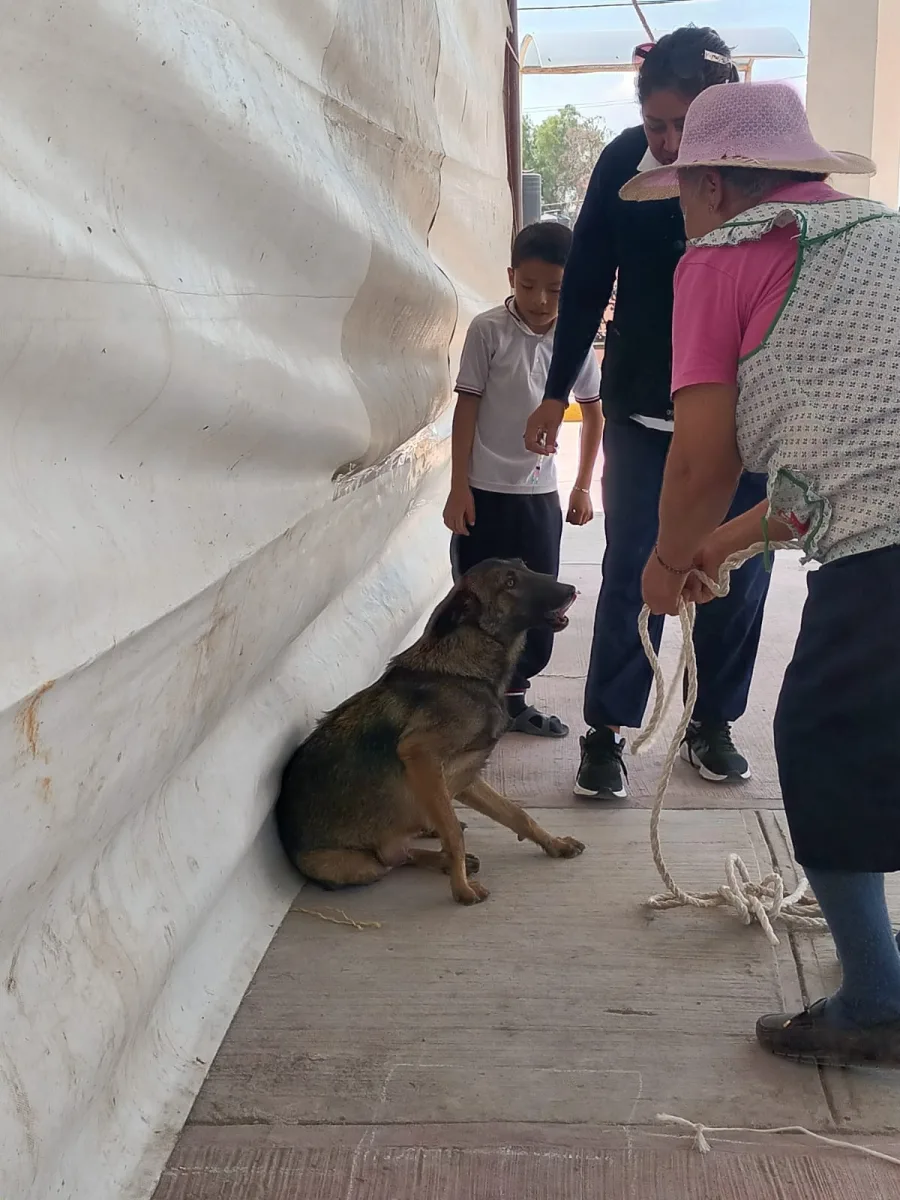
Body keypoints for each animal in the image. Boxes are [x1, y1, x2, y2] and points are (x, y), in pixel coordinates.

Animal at [274, 556, 585, 902]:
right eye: (509, 583)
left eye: (525, 566)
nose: (570, 589)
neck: (465, 671)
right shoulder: (421, 755)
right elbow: (453, 835)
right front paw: (461, 887)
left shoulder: (466, 775)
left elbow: (518, 814)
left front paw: (554, 844)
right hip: (360, 867)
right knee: (392, 860)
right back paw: (439, 858)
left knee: (403, 850)